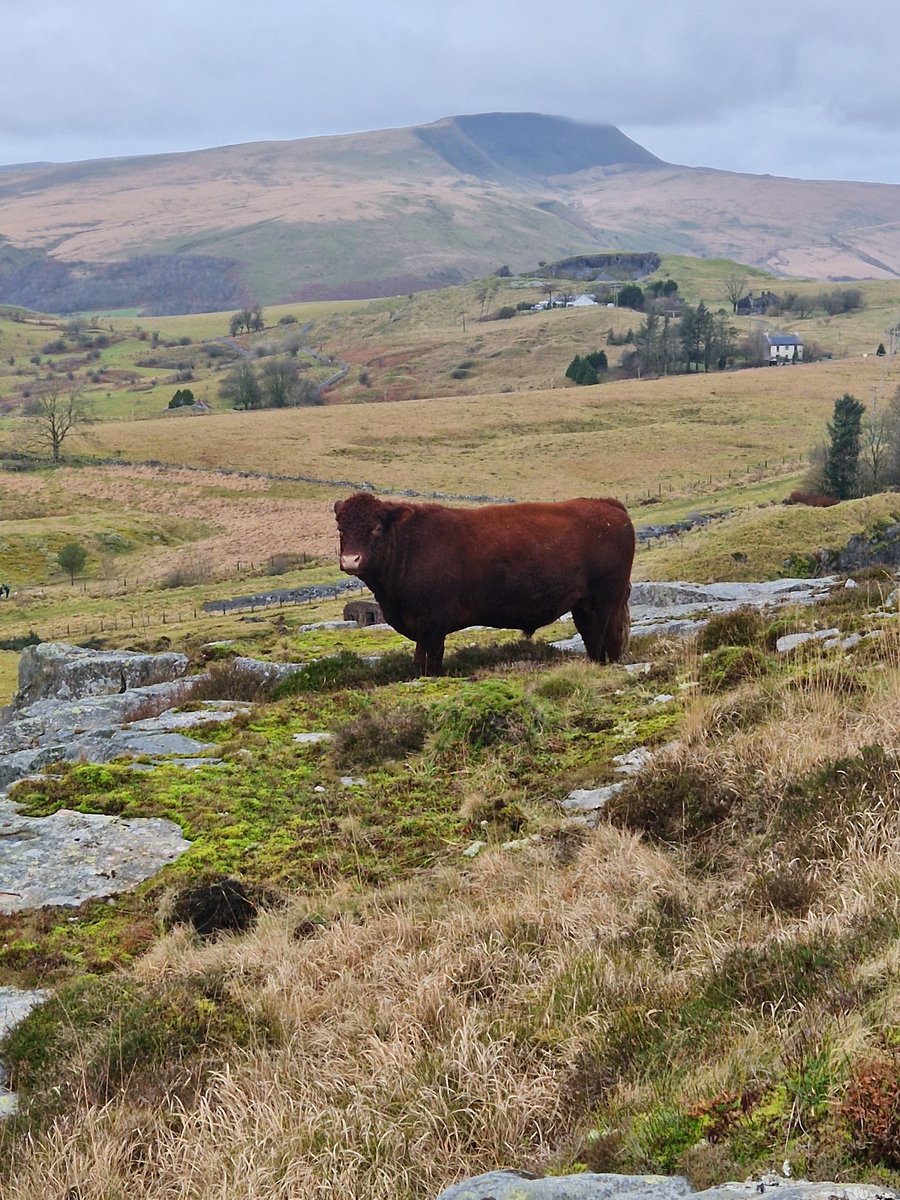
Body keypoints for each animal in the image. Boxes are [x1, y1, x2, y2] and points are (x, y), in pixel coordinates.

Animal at [334, 492, 635, 675]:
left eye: (376, 527)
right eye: (340, 528)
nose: (350, 560)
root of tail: (608, 505)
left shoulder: (432, 626)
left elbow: (429, 663)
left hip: (608, 600)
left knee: (611, 637)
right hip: (583, 605)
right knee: (592, 638)